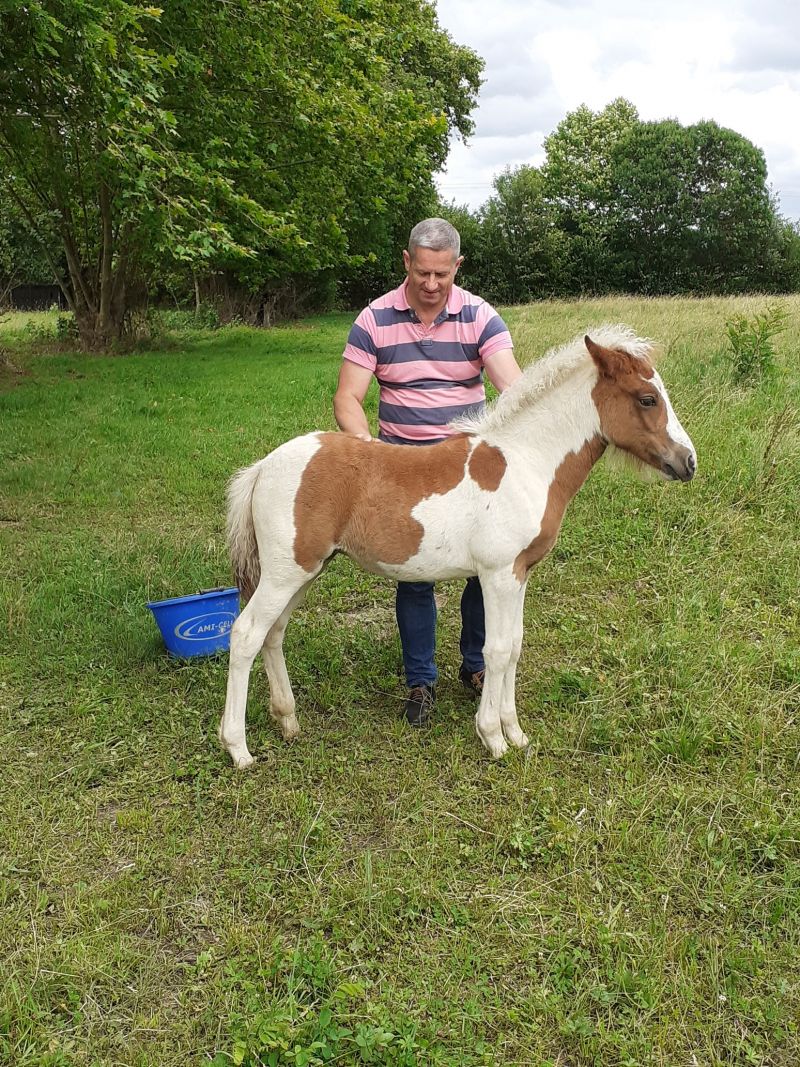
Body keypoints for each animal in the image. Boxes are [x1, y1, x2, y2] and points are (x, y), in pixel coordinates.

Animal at [217, 326, 695, 768]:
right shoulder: (498, 573)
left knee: (273, 632)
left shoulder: (519, 573)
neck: (527, 463)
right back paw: (238, 748)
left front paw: (516, 734)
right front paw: (494, 738)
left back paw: (288, 721)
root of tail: (262, 466)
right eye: (648, 399)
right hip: (286, 572)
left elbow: (514, 646)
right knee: (245, 634)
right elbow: (496, 651)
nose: (688, 462)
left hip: (305, 571)